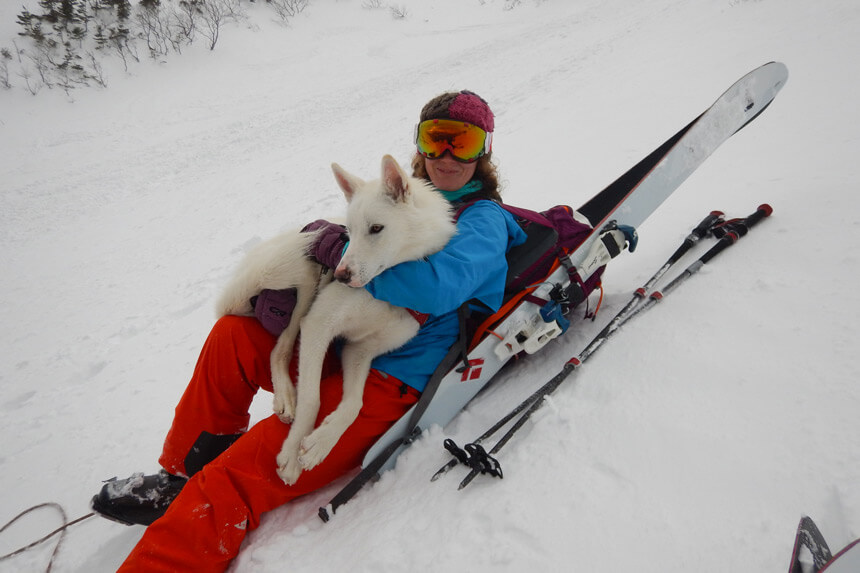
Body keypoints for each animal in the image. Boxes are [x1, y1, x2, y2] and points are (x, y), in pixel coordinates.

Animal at [215, 154, 456, 484]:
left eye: (376, 228)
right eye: (349, 232)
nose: (341, 275)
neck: (387, 292)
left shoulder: (360, 350)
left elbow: (355, 404)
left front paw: (322, 441)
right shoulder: (318, 325)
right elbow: (312, 399)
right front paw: (293, 452)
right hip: (303, 276)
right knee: (281, 350)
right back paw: (287, 396)